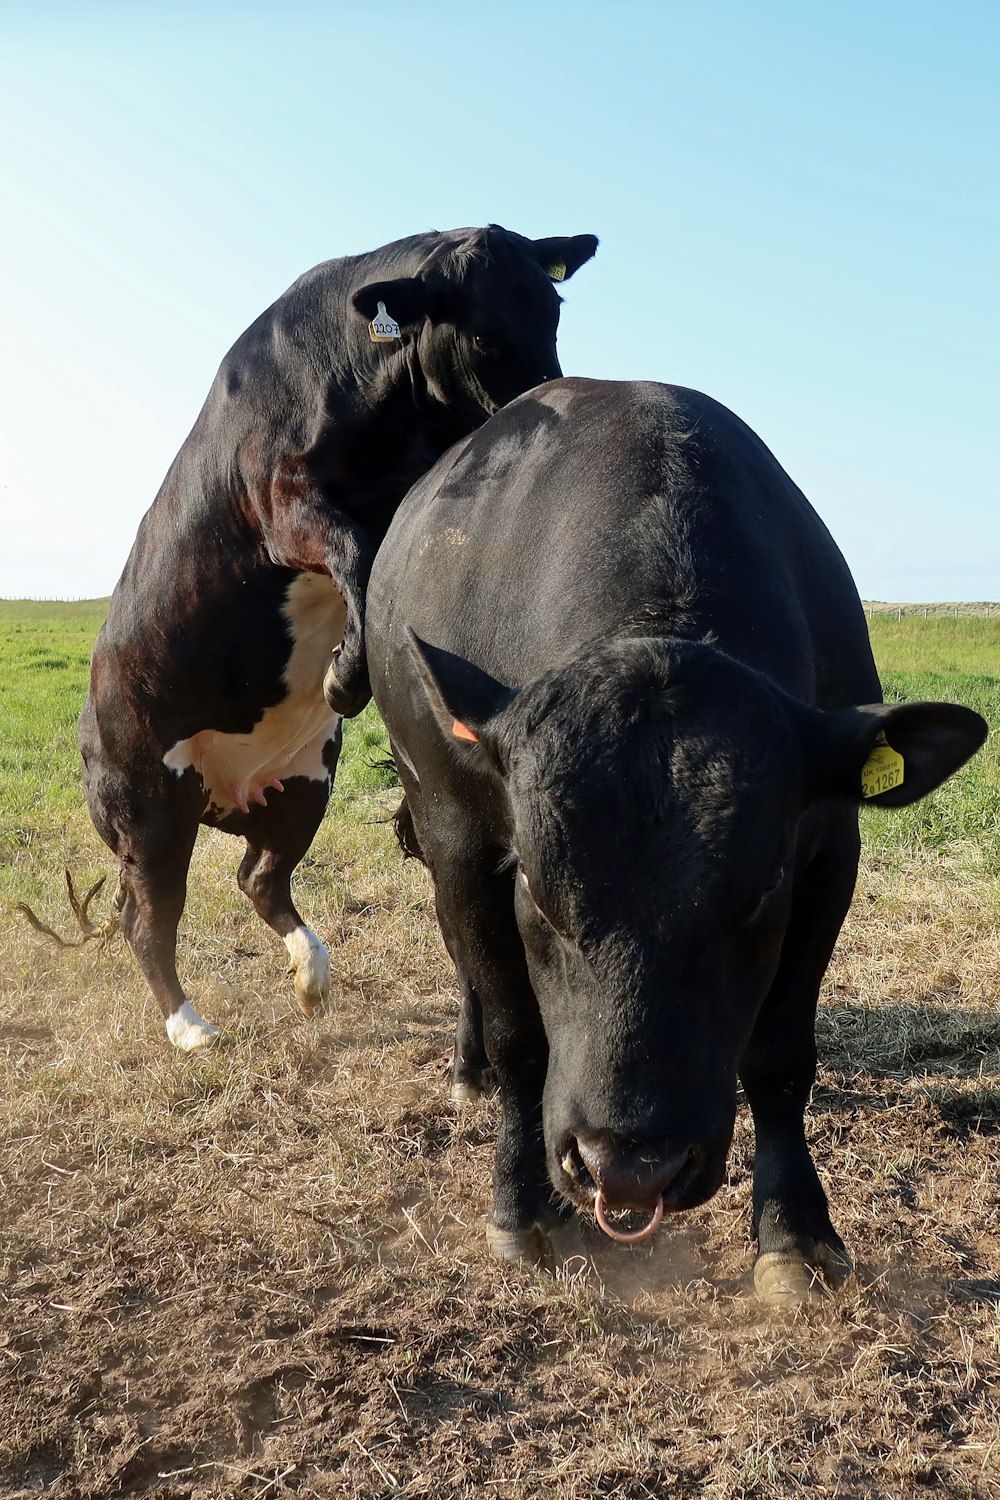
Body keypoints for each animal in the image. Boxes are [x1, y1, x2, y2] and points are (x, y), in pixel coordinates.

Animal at [80, 225, 593, 1056]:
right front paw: (345, 674)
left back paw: (311, 973)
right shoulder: (282, 500)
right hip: (148, 805)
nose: (548, 395)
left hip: (301, 787)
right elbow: (355, 552)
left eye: (552, 310)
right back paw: (189, 1024)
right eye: (483, 334)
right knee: (146, 913)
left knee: (260, 878)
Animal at [365, 375, 983, 1302]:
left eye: (761, 890)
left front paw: (795, 1234)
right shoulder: (464, 840)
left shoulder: (829, 853)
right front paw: (520, 1207)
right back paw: (469, 1070)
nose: (629, 1169)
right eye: (536, 888)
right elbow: (519, 1036)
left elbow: (780, 1054)